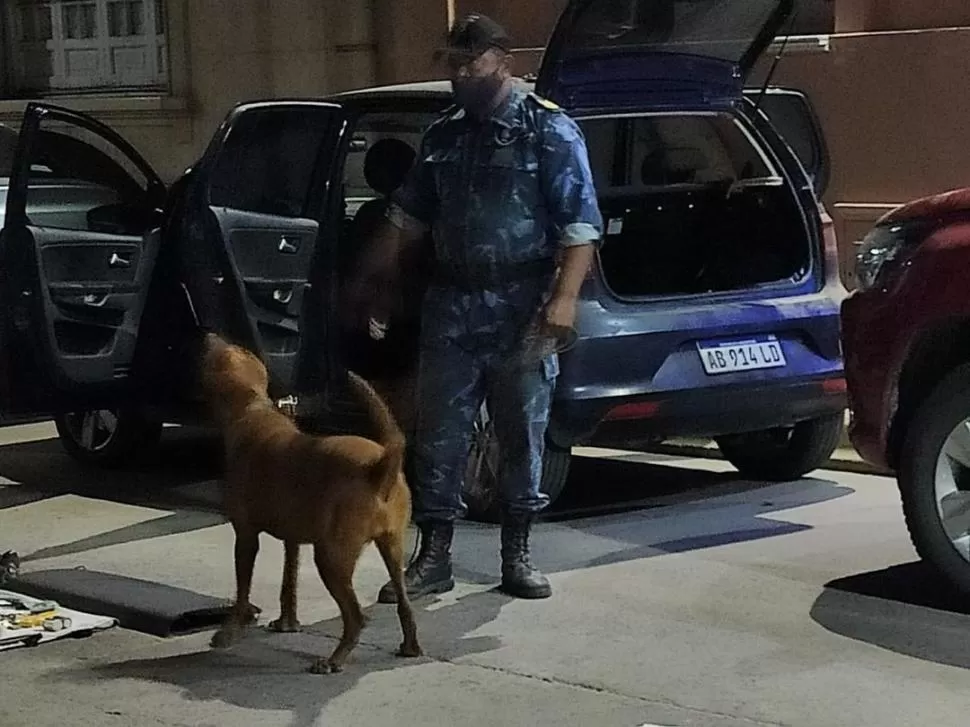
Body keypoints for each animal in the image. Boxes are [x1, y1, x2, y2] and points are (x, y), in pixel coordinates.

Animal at [200, 332, 420, 672]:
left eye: (222, 352)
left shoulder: (246, 536)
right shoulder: (293, 538)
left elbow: (242, 591)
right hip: (392, 548)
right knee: (405, 604)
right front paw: (287, 623)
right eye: (239, 348)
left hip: (331, 556)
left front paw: (228, 634)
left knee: (356, 617)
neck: (252, 409)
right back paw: (410, 646)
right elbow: (288, 583)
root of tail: (380, 466)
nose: (209, 334)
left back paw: (334, 660)